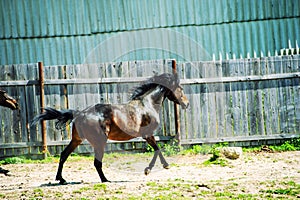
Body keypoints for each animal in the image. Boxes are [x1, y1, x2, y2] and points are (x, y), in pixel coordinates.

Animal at [31, 72, 189, 184]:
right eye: (180, 88)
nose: (187, 104)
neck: (147, 105)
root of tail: (81, 113)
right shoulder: (148, 134)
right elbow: (157, 149)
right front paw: (155, 168)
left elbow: (156, 149)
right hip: (100, 141)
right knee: (96, 162)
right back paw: (105, 180)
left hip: (77, 140)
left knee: (64, 155)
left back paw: (61, 179)